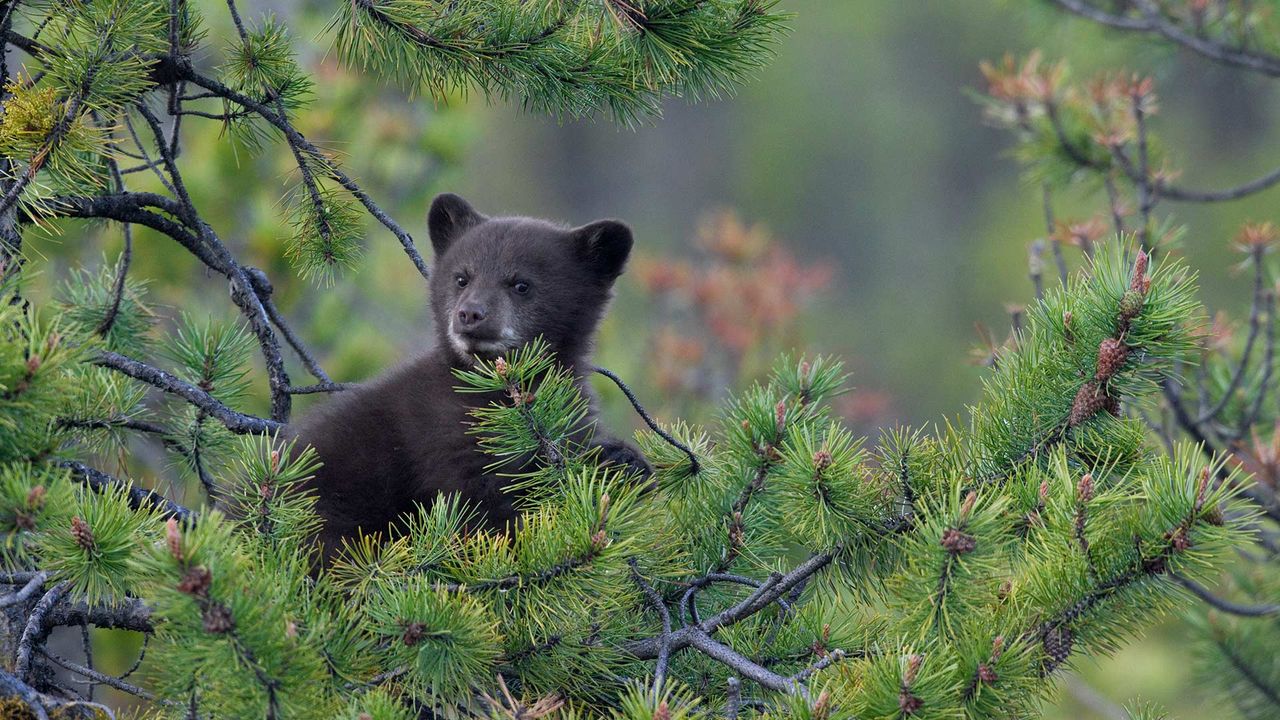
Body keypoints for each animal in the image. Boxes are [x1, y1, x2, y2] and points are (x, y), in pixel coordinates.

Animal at [288, 192, 651, 559]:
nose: (470, 314)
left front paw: (623, 461)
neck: (498, 393)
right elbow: (476, 507)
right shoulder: (441, 438)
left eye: (521, 284)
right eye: (462, 278)